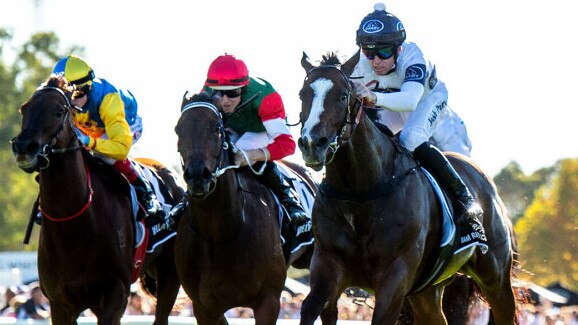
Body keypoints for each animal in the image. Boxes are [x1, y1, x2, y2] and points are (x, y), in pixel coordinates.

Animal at [11, 75, 182, 324]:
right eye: (24, 108)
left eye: (59, 111)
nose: (24, 147)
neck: (73, 224)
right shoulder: (59, 304)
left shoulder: (114, 297)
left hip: (170, 273)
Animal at [173, 92, 316, 322]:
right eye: (178, 129)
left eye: (217, 128)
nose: (197, 176)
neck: (219, 236)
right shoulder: (204, 307)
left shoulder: (268, 300)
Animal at [294, 53, 516, 324]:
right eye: (303, 94)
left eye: (343, 95)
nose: (312, 144)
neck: (359, 192)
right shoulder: (328, 266)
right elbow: (309, 308)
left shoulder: (395, 276)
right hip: (426, 291)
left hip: (495, 278)